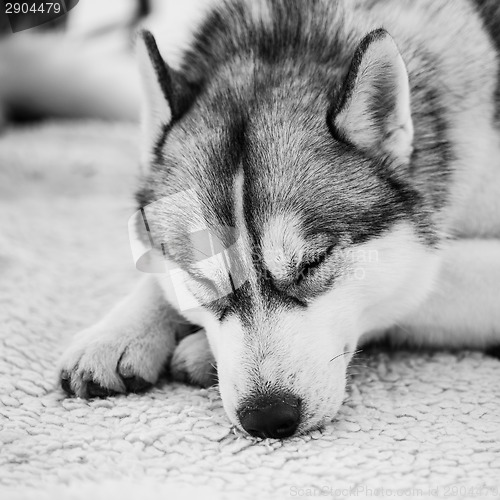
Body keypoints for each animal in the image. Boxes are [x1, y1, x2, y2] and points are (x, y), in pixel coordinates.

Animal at [58, 0, 500, 438]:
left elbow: (423, 283)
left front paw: (197, 350)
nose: (268, 416)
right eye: (202, 279)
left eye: (312, 264)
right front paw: (117, 333)